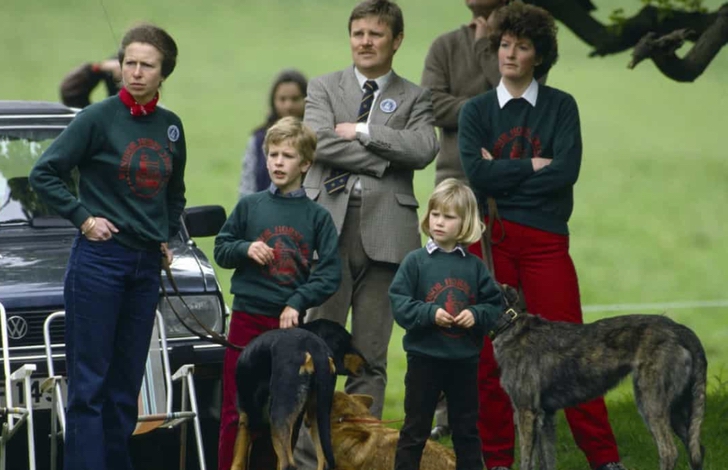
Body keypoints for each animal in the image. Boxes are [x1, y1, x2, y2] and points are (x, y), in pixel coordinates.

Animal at [232, 320, 366, 470]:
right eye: (343, 342)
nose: (366, 364)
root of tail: (314, 346)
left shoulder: (245, 420)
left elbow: (237, 463)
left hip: (278, 416)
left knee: (288, 464)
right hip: (319, 418)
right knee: (323, 462)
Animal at [492, 282, 708, 470]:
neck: (509, 326)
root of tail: (679, 329)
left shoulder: (526, 411)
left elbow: (527, 460)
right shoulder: (545, 416)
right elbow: (546, 460)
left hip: (651, 402)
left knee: (669, 451)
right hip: (678, 407)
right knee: (696, 448)